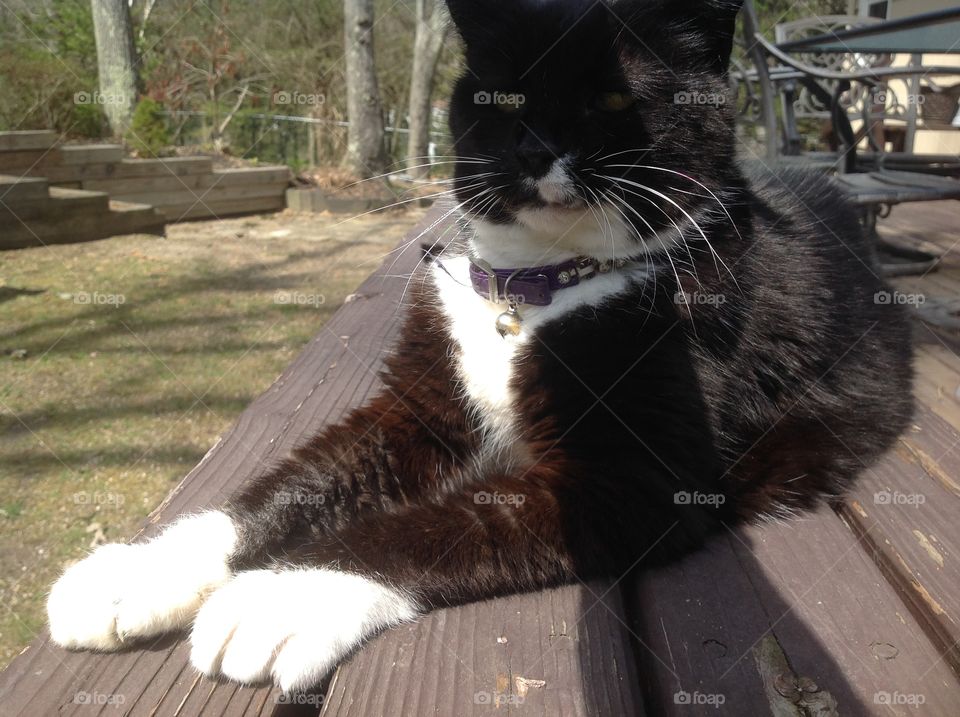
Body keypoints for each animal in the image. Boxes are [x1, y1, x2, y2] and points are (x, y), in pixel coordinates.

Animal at [47, 0, 916, 692]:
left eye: (611, 95)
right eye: (501, 95)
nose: (533, 148)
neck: (532, 290)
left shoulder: (638, 478)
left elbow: (438, 525)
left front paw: (285, 594)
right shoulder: (418, 407)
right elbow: (300, 479)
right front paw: (137, 573)